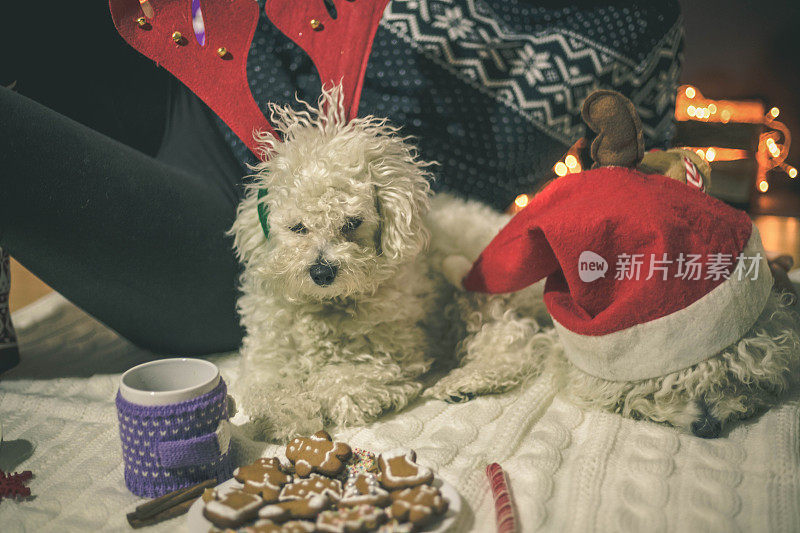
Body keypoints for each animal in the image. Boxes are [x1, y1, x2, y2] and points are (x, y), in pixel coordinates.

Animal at [230, 88, 556, 440]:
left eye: (352, 222)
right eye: (297, 227)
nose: (321, 272)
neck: (326, 306)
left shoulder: (393, 356)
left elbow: (339, 380)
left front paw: (327, 397)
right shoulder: (267, 354)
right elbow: (269, 385)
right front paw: (285, 415)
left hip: (478, 288)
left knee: (515, 344)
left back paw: (464, 381)